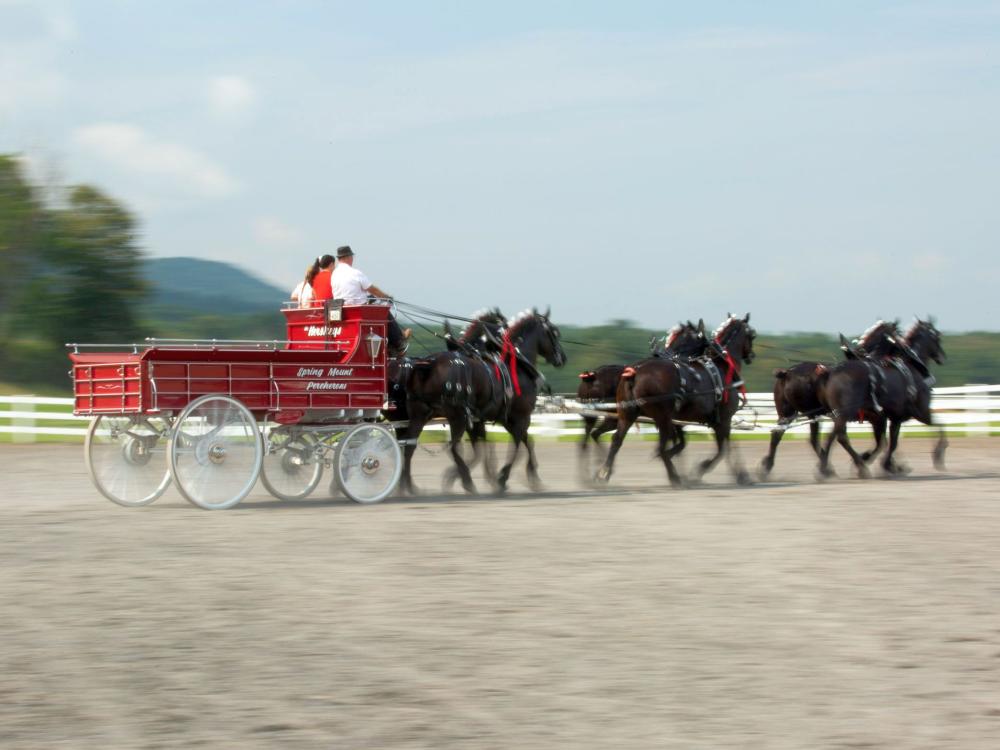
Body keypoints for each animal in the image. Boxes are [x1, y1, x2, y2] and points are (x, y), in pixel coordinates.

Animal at [400, 308, 572, 496]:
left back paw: (408, 485)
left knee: (409, 447)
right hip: (457, 416)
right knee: (452, 447)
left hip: (420, 415)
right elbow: (516, 446)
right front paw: (502, 478)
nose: (562, 358)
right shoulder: (520, 417)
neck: (515, 362)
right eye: (554, 332)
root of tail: (430, 363)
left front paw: (531, 477)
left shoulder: (498, 419)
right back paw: (466, 480)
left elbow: (523, 443)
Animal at [592, 316, 756, 488]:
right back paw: (674, 476)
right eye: (752, 336)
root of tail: (633, 371)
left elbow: (716, 446)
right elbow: (723, 449)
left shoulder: (706, 421)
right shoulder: (723, 419)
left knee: (616, 439)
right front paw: (705, 471)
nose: (751, 355)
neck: (722, 368)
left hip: (627, 414)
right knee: (660, 447)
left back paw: (604, 473)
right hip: (661, 417)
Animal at [812, 320, 944, 478]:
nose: (942, 356)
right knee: (838, 437)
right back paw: (832, 468)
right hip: (844, 413)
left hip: (835, 414)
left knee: (832, 437)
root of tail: (831, 372)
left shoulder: (882, 418)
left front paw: (884, 463)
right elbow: (937, 426)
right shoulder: (917, 413)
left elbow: (884, 442)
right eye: (936, 337)